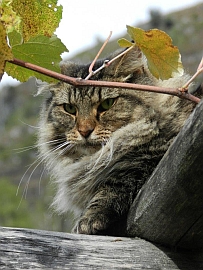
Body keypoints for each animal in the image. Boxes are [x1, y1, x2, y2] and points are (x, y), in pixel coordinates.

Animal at [38, 47, 198, 236]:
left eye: (107, 104)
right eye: (69, 108)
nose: (85, 131)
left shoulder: (151, 160)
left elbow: (114, 186)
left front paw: (87, 221)